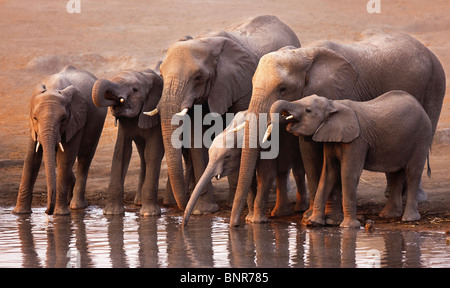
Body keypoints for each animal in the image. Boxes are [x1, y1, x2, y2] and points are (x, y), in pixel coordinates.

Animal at [14, 64, 107, 214]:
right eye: (35, 118)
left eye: (63, 119)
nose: (47, 211)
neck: (53, 88)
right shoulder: (33, 127)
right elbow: (31, 159)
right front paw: (20, 213)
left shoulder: (76, 120)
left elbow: (65, 158)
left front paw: (60, 215)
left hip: (97, 124)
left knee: (85, 159)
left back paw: (76, 206)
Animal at [146, 16, 300, 214]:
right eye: (162, 74)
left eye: (198, 77)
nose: (180, 207)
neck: (204, 41)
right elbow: (197, 140)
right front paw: (204, 211)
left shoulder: (242, 86)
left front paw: (231, 203)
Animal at [268, 91, 432, 228]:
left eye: (308, 110)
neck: (333, 104)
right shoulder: (332, 137)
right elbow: (328, 173)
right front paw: (313, 223)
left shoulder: (357, 141)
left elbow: (348, 174)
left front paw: (348, 227)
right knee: (397, 172)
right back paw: (388, 215)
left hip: (421, 136)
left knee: (413, 172)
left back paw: (409, 219)